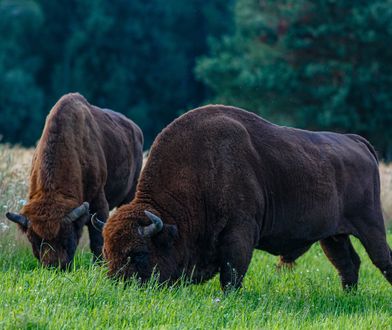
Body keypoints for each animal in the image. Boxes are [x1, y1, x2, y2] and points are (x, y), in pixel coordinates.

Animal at [5, 92, 144, 268]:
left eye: (67, 238)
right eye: (34, 240)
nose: (54, 266)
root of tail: (135, 129)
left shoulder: (99, 202)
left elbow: (97, 239)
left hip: (130, 193)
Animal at [99, 104, 392, 290]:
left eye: (138, 253)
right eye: (106, 252)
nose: (116, 285)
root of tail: (357, 142)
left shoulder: (239, 232)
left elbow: (232, 273)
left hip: (371, 225)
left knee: (382, 259)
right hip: (333, 236)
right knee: (348, 264)